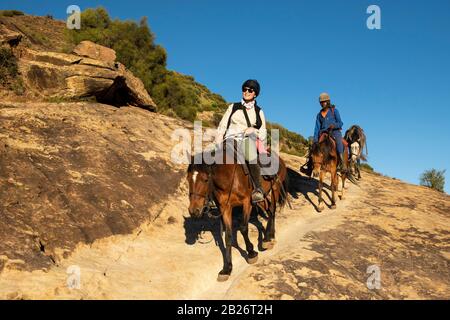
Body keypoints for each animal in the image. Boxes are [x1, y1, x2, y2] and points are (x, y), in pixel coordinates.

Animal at [186, 144, 288, 282]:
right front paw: (227, 268)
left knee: (272, 211)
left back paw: (267, 239)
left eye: (206, 179)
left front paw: (251, 253)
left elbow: (244, 228)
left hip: (275, 189)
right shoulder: (225, 208)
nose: (194, 210)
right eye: (188, 178)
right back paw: (270, 236)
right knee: (269, 211)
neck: (230, 178)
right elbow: (228, 236)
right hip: (262, 198)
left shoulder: (247, 202)